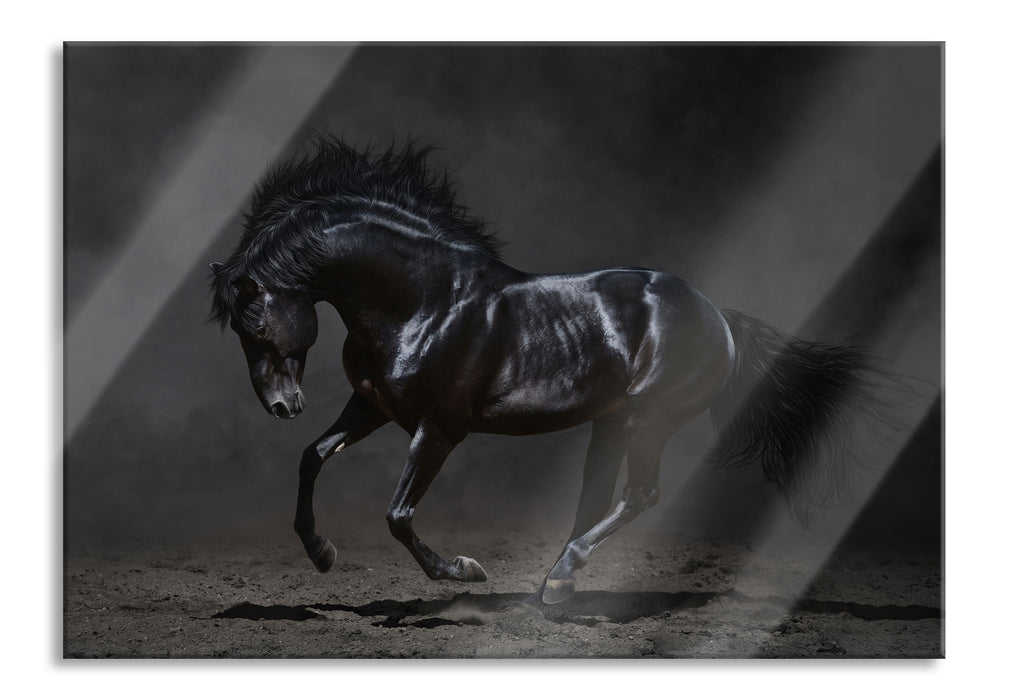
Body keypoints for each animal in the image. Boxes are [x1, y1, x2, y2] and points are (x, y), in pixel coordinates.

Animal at [209, 136, 884, 605]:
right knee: (597, 498)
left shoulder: (439, 429)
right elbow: (312, 456)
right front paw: (322, 553)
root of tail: (718, 316)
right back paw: (552, 588)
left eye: (256, 325)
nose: (281, 406)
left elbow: (398, 515)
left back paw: (559, 583)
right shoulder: (372, 406)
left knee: (639, 495)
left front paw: (463, 571)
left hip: (648, 419)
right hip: (612, 422)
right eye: (238, 332)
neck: (424, 300)